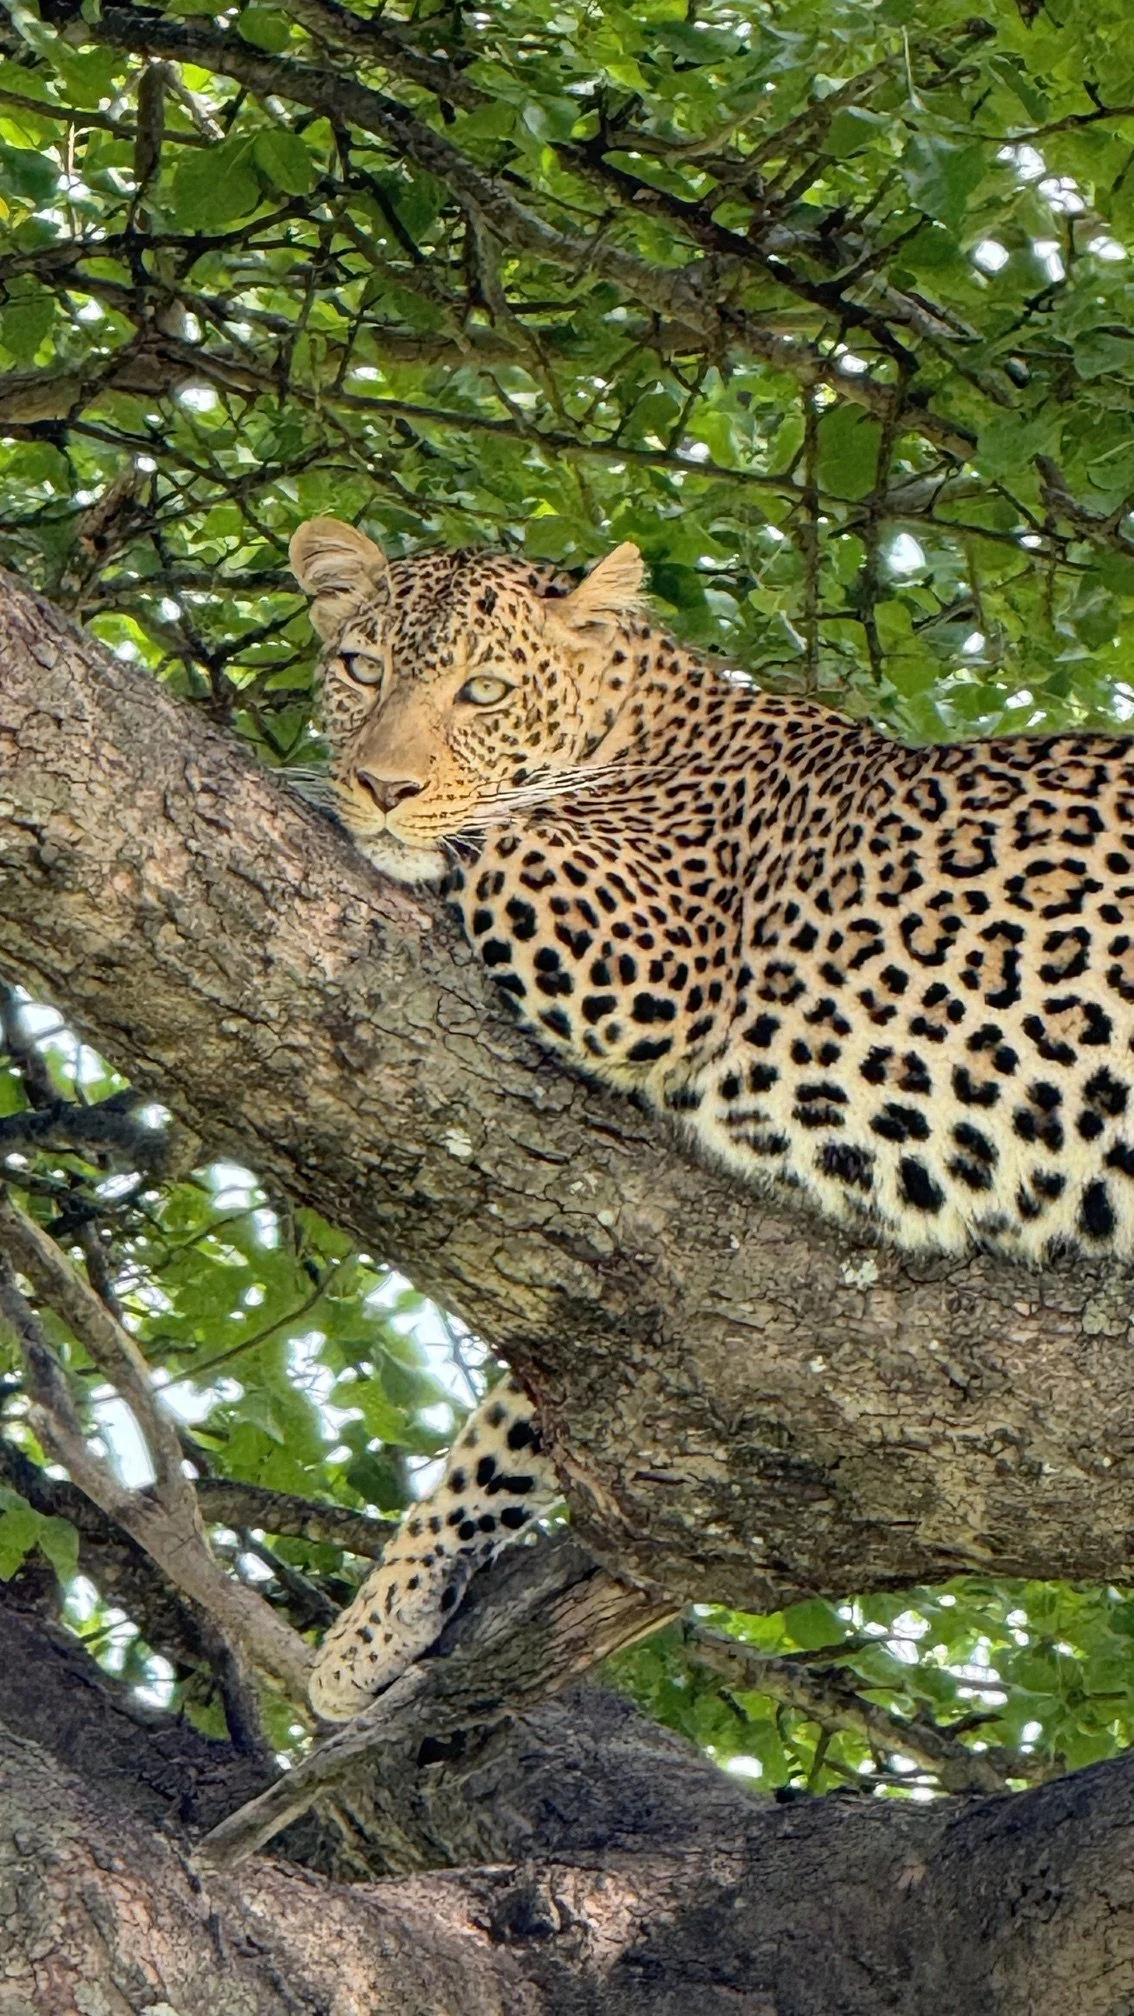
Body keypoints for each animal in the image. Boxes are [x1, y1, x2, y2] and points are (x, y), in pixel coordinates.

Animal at [291, 512, 1134, 1720]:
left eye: (483, 691)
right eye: (362, 669)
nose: (382, 784)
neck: (641, 718)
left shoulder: (645, 949)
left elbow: (493, 834)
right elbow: (510, 1418)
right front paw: (379, 1618)